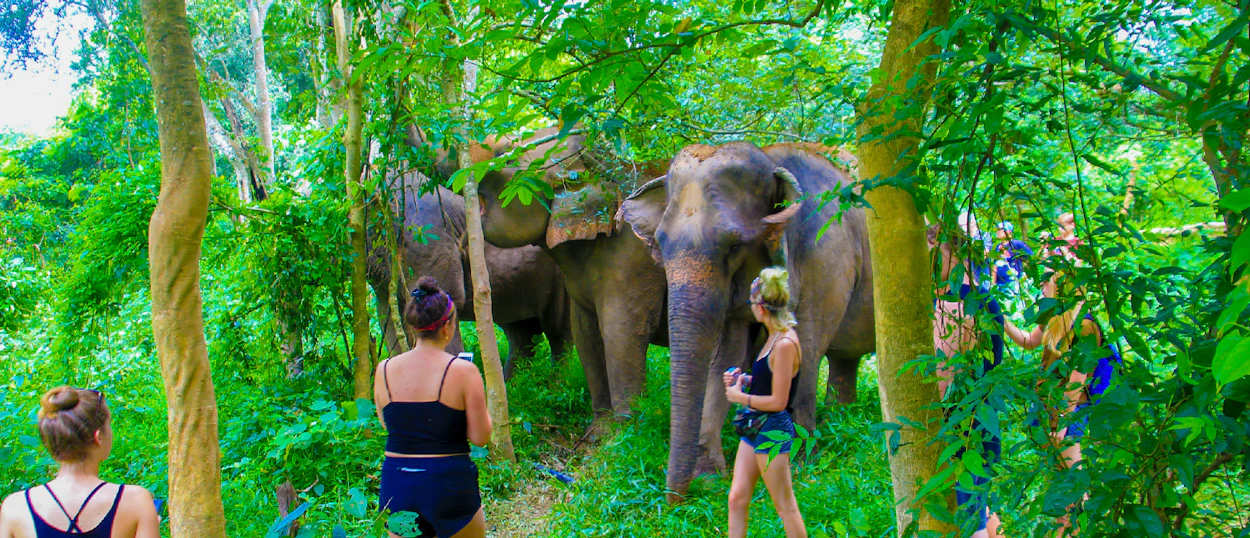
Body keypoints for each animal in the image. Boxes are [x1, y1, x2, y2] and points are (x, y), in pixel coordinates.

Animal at [473, 129, 670, 419]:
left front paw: (625, 428)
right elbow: (585, 334)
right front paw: (601, 426)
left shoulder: (635, 260)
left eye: (503, 155)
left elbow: (622, 333)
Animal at [617, 141, 875, 499]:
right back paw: (842, 417)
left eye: (734, 245)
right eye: (661, 242)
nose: (674, 501)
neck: (771, 160)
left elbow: (806, 347)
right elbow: (729, 351)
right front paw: (709, 476)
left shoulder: (828, 255)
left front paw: (796, 465)